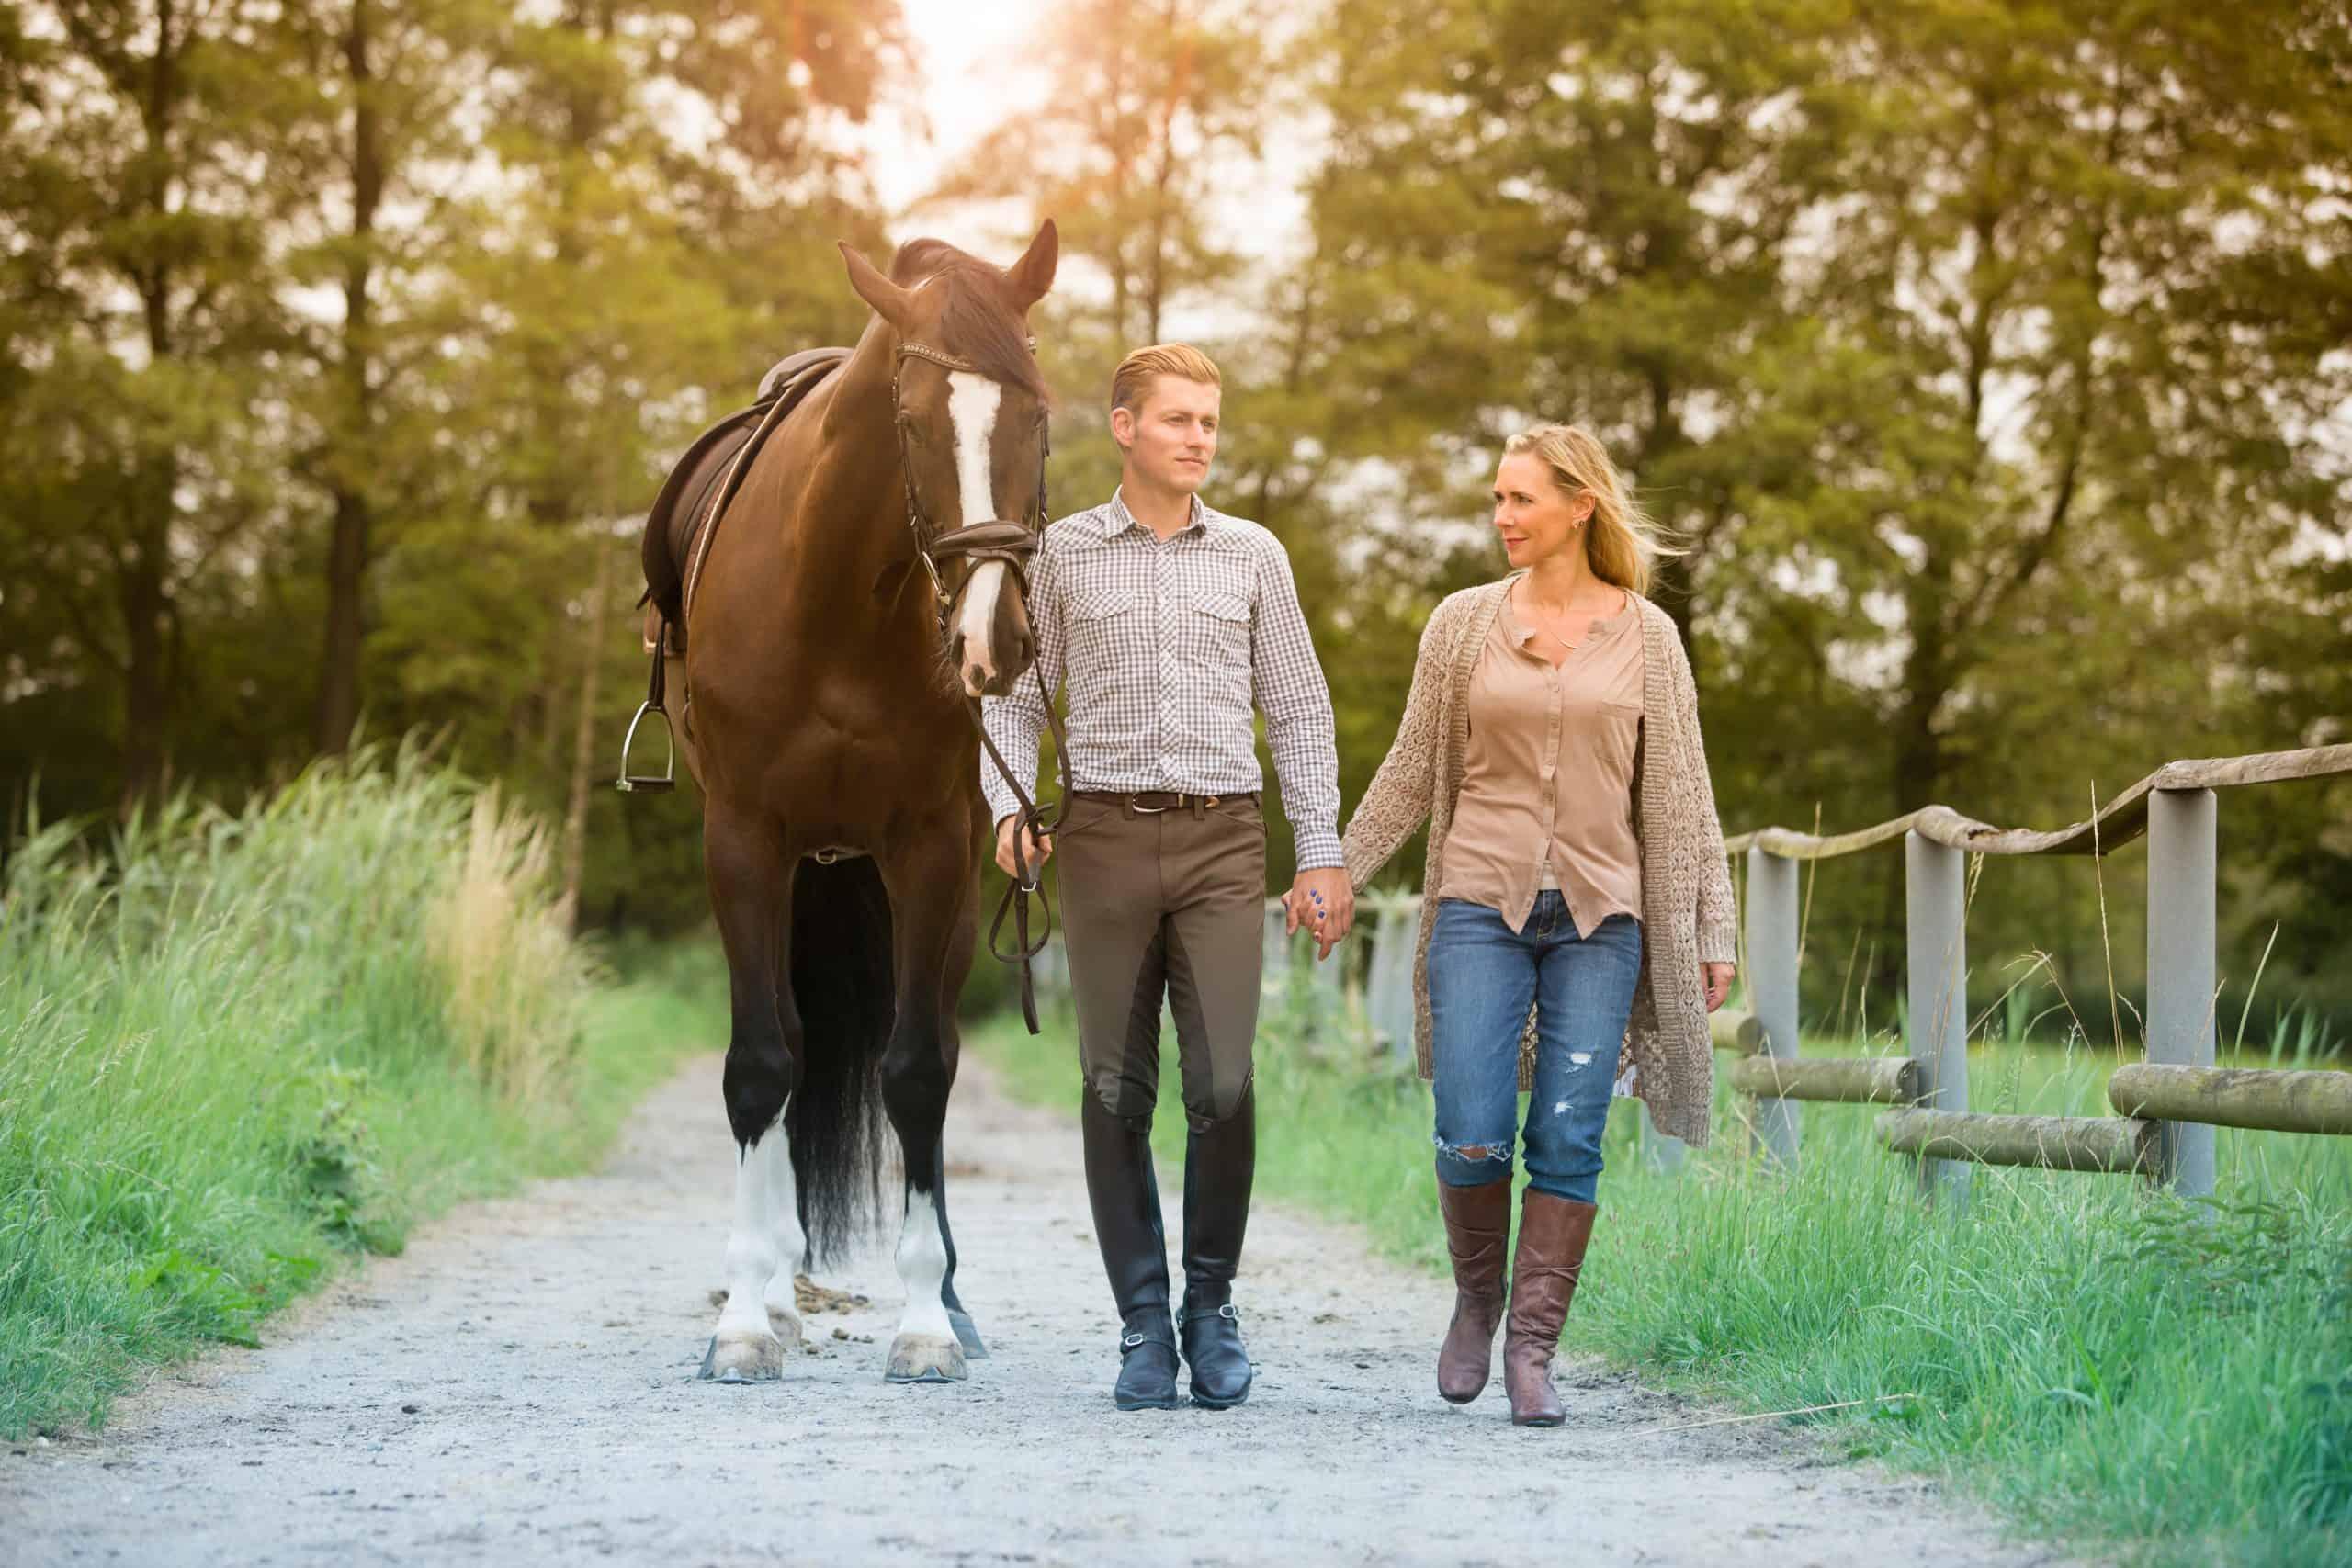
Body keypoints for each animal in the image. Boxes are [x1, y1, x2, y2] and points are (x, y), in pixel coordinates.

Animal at [635, 223, 1058, 1382]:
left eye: (1038, 416)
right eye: (909, 425)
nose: (992, 639)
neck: (832, 599)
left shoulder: (929, 851)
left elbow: (915, 1071)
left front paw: (925, 1325)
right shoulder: (743, 843)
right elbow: (758, 1064)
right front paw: (745, 1320)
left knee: (926, 1051)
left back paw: (943, 1299)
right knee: (789, 1041)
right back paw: (780, 1295)